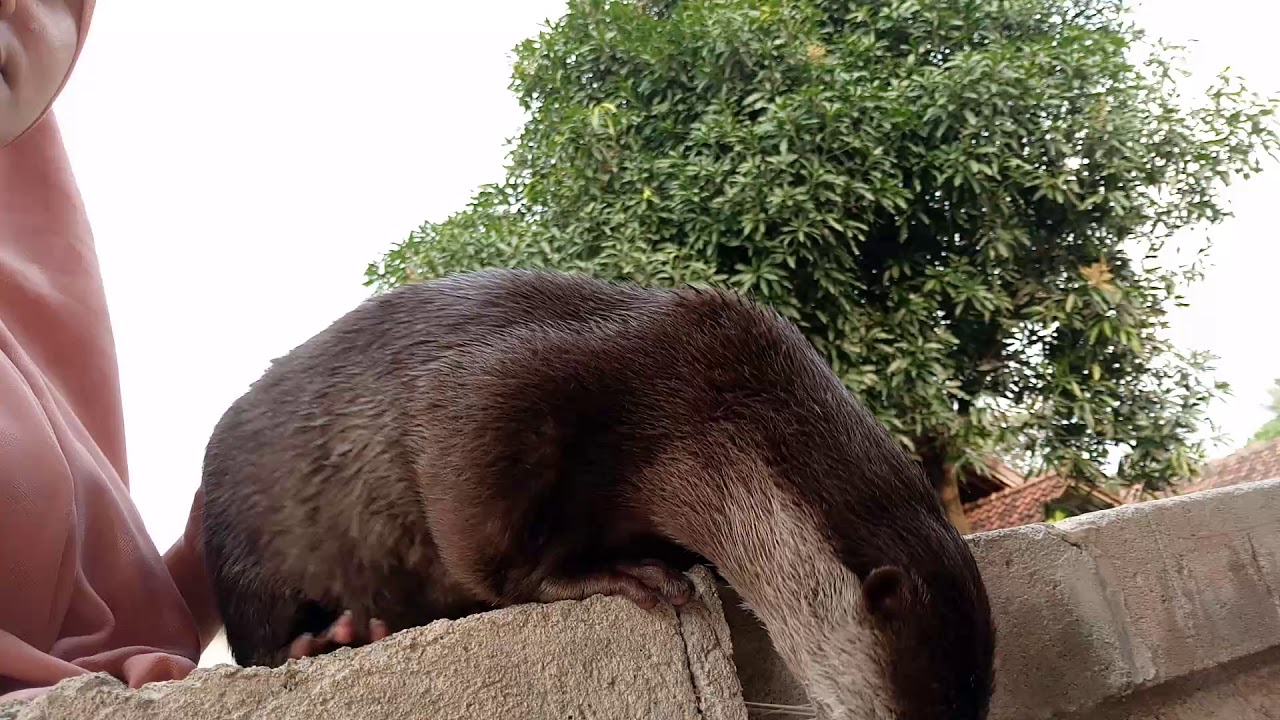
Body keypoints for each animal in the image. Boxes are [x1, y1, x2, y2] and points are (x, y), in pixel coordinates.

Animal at [200, 268, 994, 719]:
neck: (694, 403)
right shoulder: (505, 393)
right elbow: (487, 546)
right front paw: (617, 576)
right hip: (242, 553)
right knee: (259, 639)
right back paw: (326, 642)